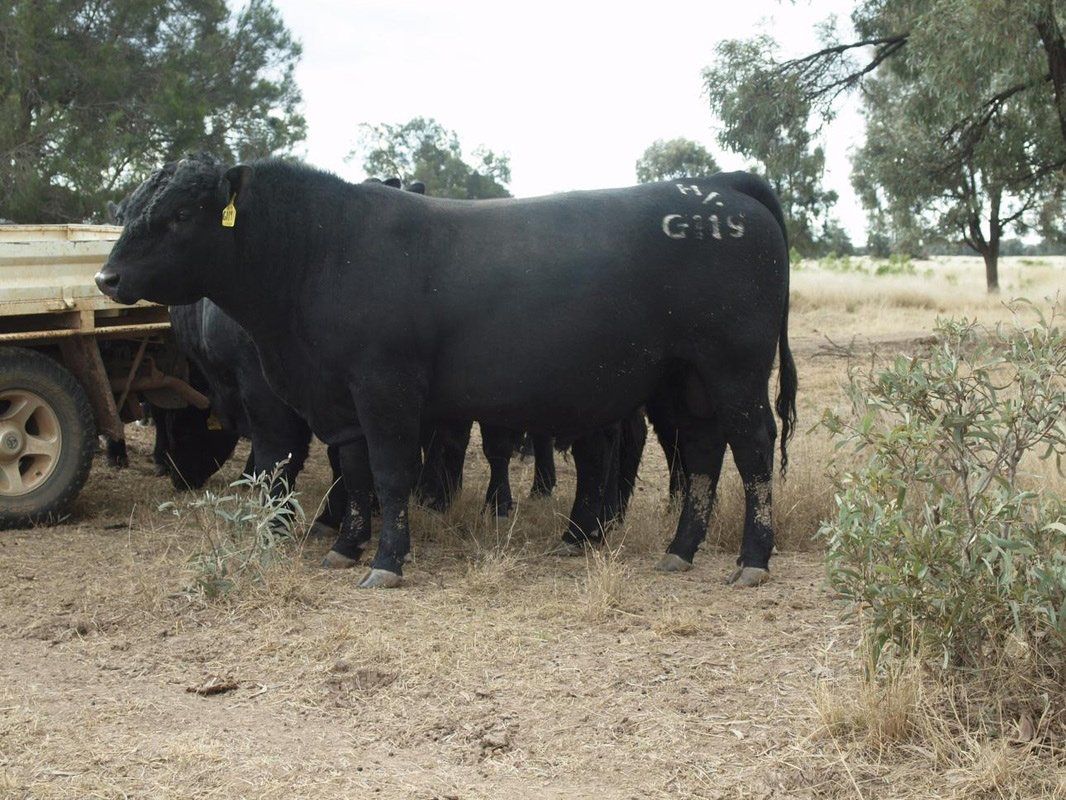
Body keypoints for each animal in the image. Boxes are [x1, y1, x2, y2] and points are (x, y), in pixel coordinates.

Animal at [96, 156, 797, 590]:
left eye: (179, 214)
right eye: (129, 207)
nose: (107, 277)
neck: (324, 250)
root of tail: (720, 185)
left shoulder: (385, 389)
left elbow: (387, 473)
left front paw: (385, 561)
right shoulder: (338, 403)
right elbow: (354, 472)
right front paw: (345, 547)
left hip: (733, 370)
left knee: (753, 449)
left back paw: (752, 559)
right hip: (684, 381)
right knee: (701, 452)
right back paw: (679, 551)